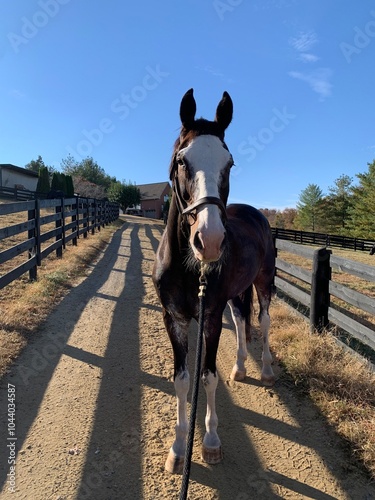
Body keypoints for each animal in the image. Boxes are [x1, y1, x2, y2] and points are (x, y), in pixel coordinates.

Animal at [152, 88, 276, 474]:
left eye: (230, 163)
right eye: (182, 160)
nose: (209, 240)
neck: (188, 268)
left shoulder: (209, 317)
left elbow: (207, 377)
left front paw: (209, 442)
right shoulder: (174, 319)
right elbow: (181, 380)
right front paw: (178, 448)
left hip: (264, 283)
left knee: (263, 321)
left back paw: (266, 370)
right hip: (236, 294)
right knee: (240, 319)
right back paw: (240, 368)